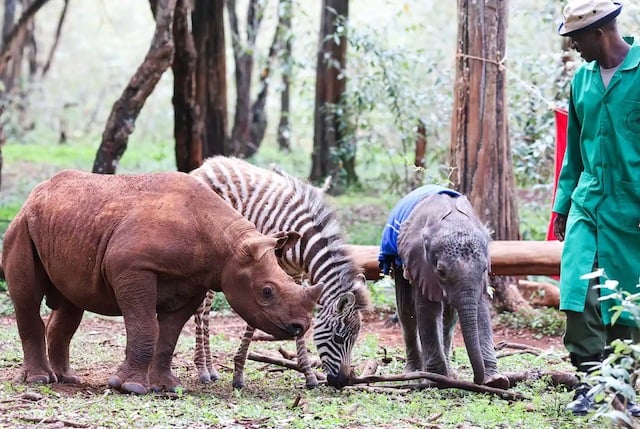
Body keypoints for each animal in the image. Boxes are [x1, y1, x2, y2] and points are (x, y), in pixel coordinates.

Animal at [190, 156, 371, 389]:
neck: (303, 244)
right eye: (339, 339)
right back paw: (203, 369)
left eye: (355, 339)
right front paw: (238, 373)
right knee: (201, 311)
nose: (342, 382)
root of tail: (208, 164)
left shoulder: (297, 275)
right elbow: (254, 317)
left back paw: (211, 369)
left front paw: (309, 375)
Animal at [379, 185, 509, 389]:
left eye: (484, 269)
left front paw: (496, 381)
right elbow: (427, 310)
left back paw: (450, 374)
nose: (476, 380)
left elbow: (481, 310)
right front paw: (436, 380)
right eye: (440, 271)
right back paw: (415, 372)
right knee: (406, 311)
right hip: (397, 261)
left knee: (448, 319)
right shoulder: (420, 263)